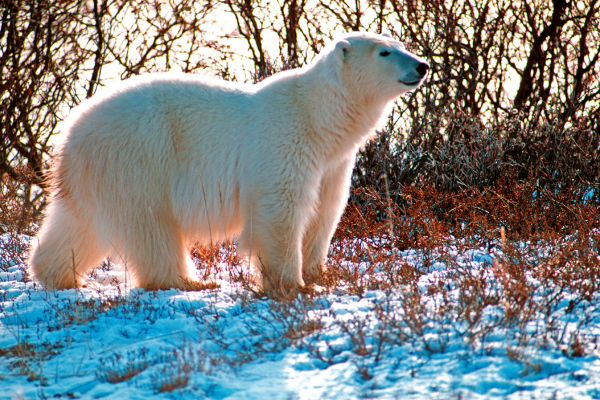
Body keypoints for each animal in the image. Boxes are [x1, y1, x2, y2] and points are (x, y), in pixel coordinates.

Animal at [30, 32, 428, 294]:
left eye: (401, 44)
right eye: (385, 52)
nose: (423, 65)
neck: (319, 118)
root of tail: (69, 133)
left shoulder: (332, 162)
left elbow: (325, 210)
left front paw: (323, 274)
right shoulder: (283, 142)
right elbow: (280, 210)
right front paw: (293, 284)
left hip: (95, 176)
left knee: (78, 226)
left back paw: (61, 275)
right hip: (138, 157)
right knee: (151, 225)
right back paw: (190, 280)